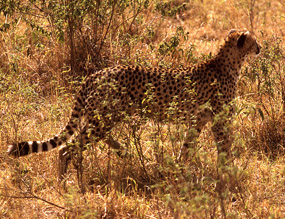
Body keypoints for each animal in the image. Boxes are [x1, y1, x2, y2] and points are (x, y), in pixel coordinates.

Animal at [7, 29, 260, 180]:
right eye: (254, 41)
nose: (260, 48)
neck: (230, 63)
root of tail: (96, 74)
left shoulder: (198, 121)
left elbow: (186, 148)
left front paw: (177, 169)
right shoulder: (220, 120)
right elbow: (224, 147)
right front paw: (229, 172)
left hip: (103, 116)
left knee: (83, 140)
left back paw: (121, 152)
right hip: (105, 116)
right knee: (67, 149)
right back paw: (69, 186)